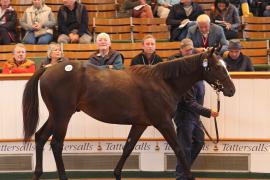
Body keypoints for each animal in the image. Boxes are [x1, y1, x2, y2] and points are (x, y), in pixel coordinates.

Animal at [22, 48, 234, 180]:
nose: (232, 90)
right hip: (63, 115)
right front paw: (190, 175)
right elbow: (179, 149)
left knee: (40, 137)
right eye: (218, 67)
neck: (163, 82)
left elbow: (128, 148)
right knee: (56, 144)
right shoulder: (164, 122)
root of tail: (48, 68)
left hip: (56, 115)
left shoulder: (140, 124)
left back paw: (37, 173)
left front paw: (117, 174)